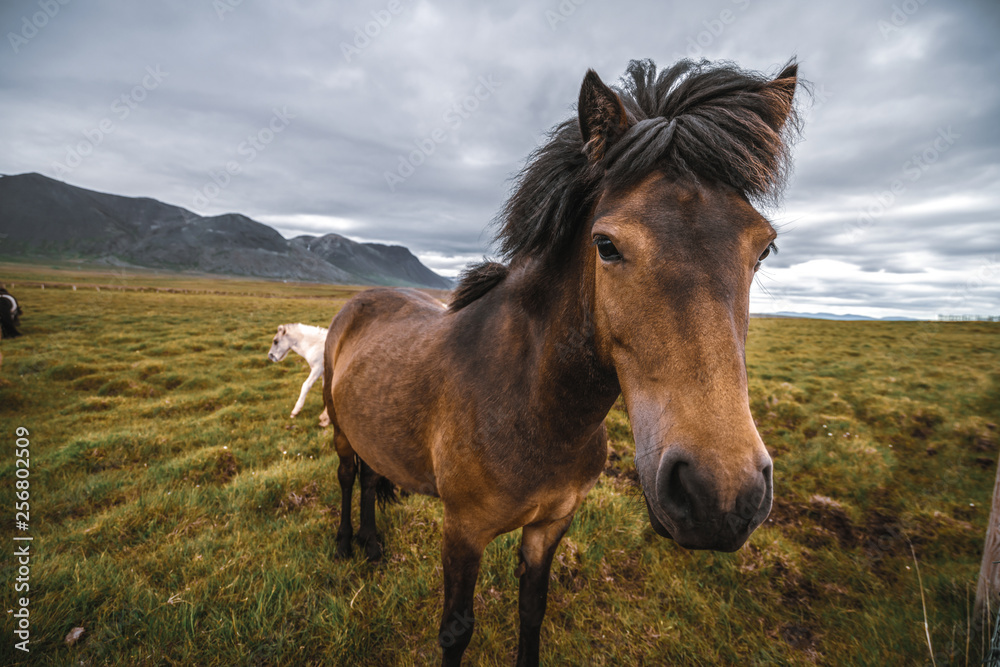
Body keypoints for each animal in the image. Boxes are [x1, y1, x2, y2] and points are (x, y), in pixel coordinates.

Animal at [324, 58, 800, 667]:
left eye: (762, 249)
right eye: (606, 245)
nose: (718, 495)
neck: (535, 408)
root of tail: (360, 301)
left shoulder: (550, 525)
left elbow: (533, 611)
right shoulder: (462, 530)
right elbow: (456, 628)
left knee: (367, 475)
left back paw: (371, 542)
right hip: (340, 429)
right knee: (346, 475)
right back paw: (345, 544)